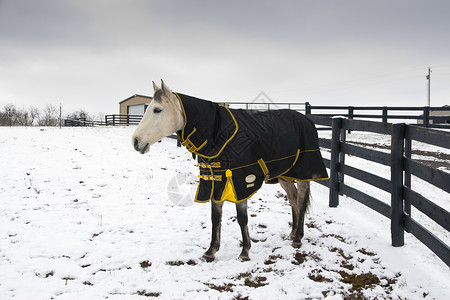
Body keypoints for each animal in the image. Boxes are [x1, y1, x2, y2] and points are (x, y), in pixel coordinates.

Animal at [130, 81, 326, 262]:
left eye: (157, 110)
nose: (135, 141)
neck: (219, 134)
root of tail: (307, 120)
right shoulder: (216, 179)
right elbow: (215, 217)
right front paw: (211, 251)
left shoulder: (242, 181)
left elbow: (242, 218)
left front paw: (245, 251)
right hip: (285, 174)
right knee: (293, 200)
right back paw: (293, 233)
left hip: (303, 173)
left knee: (301, 200)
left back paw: (298, 238)